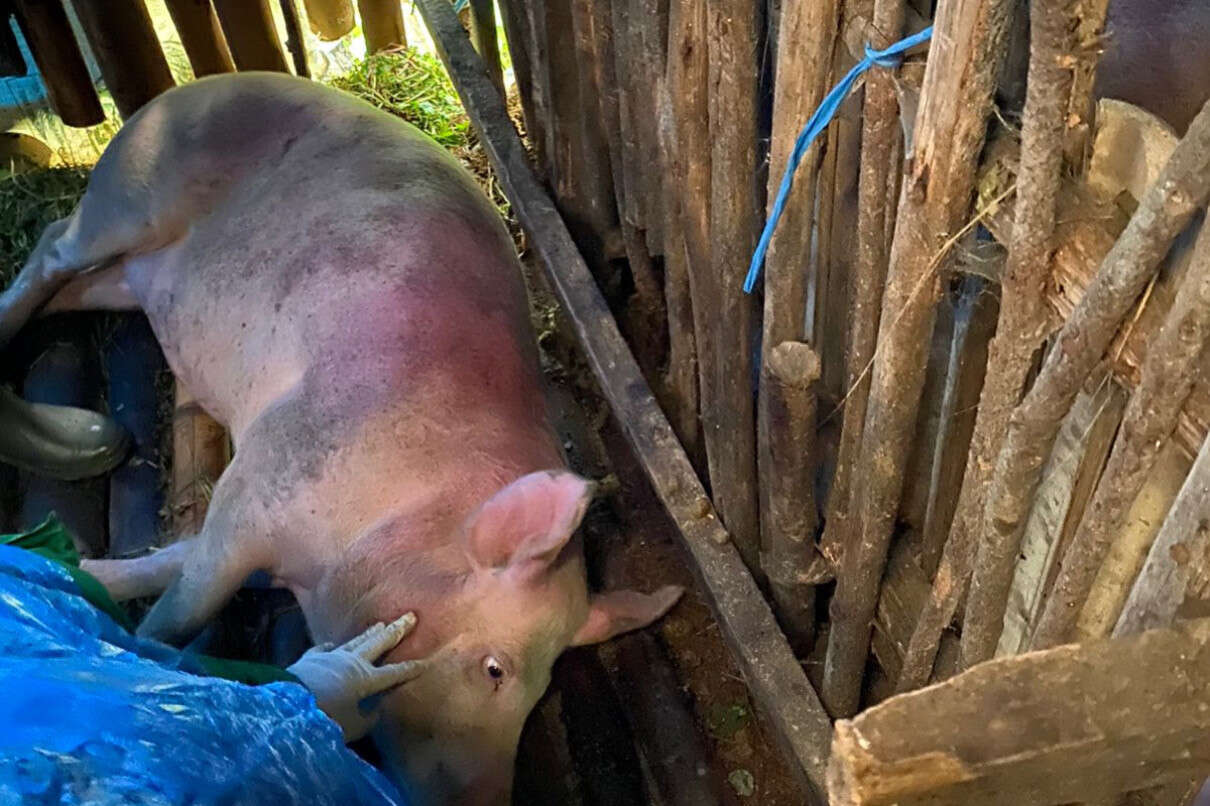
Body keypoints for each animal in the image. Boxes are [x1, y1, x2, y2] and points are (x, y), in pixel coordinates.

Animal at [0, 72, 682, 798]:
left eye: (544, 691)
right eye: (495, 669)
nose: (486, 799)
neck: (404, 504)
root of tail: (183, 92)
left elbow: (166, 561)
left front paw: (84, 573)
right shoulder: (259, 485)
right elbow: (186, 602)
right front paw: (152, 646)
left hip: (136, 277)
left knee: (73, 283)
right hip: (128, 199)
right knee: (54, 243)